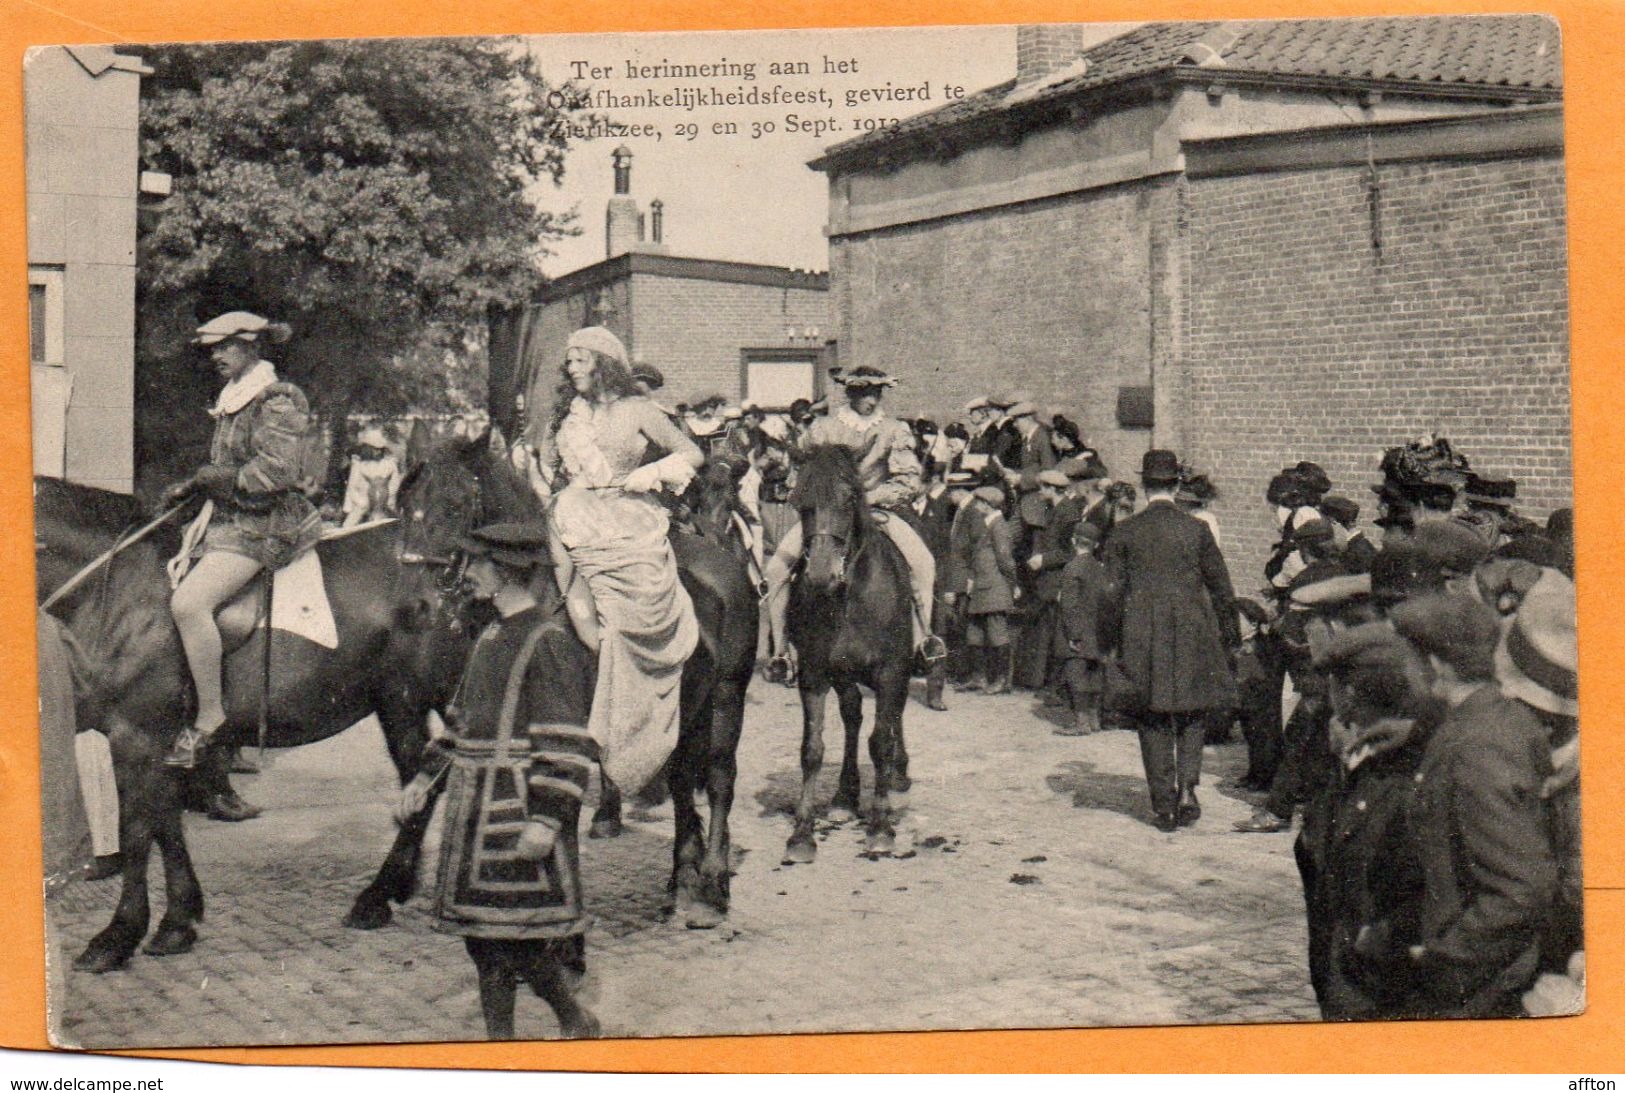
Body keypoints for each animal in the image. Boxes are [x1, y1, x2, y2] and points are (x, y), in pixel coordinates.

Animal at [33, 474, 471, 967]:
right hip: (402, 704)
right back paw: (393, 889)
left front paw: (117, 934)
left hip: (423, 700)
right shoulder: (159, 742)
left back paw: (383, 897)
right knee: (425, 780)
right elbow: (166, 823)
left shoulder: (137, 735)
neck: (116, 590)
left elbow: (139, 830)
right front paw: (178, 920)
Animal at [396, 425, 757, 928]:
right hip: (681, 708)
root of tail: (724, 564)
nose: (414, 606)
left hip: (726, 698)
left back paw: (713, 888)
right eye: (404, 506)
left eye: (453, 505)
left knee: (721, 780)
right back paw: (681, 879)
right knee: (683, 780)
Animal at [776, 441, 910, 864]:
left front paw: (881, 827)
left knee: (892, 722)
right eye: (799, 500)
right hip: (843, 676)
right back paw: (845, 794)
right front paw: (802, 834)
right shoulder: (816, 674)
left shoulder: (891, 671)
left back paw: (899, 773)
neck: (849, 596)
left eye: (850, 498)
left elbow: (881, 743)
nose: (820, 575)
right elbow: (812, 749)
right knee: (852, 716)